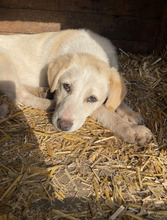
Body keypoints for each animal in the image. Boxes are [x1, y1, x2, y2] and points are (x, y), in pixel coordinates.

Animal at [0, 28, 152, 144]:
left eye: (92, 98)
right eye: (66, 86)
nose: (63, 125)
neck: (91, 52)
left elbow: (117, 100)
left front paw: (130, 113)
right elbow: (106, 112)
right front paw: (131, 129)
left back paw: (43, 91)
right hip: (6, 65)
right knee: (21, 94)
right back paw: (50, 102)